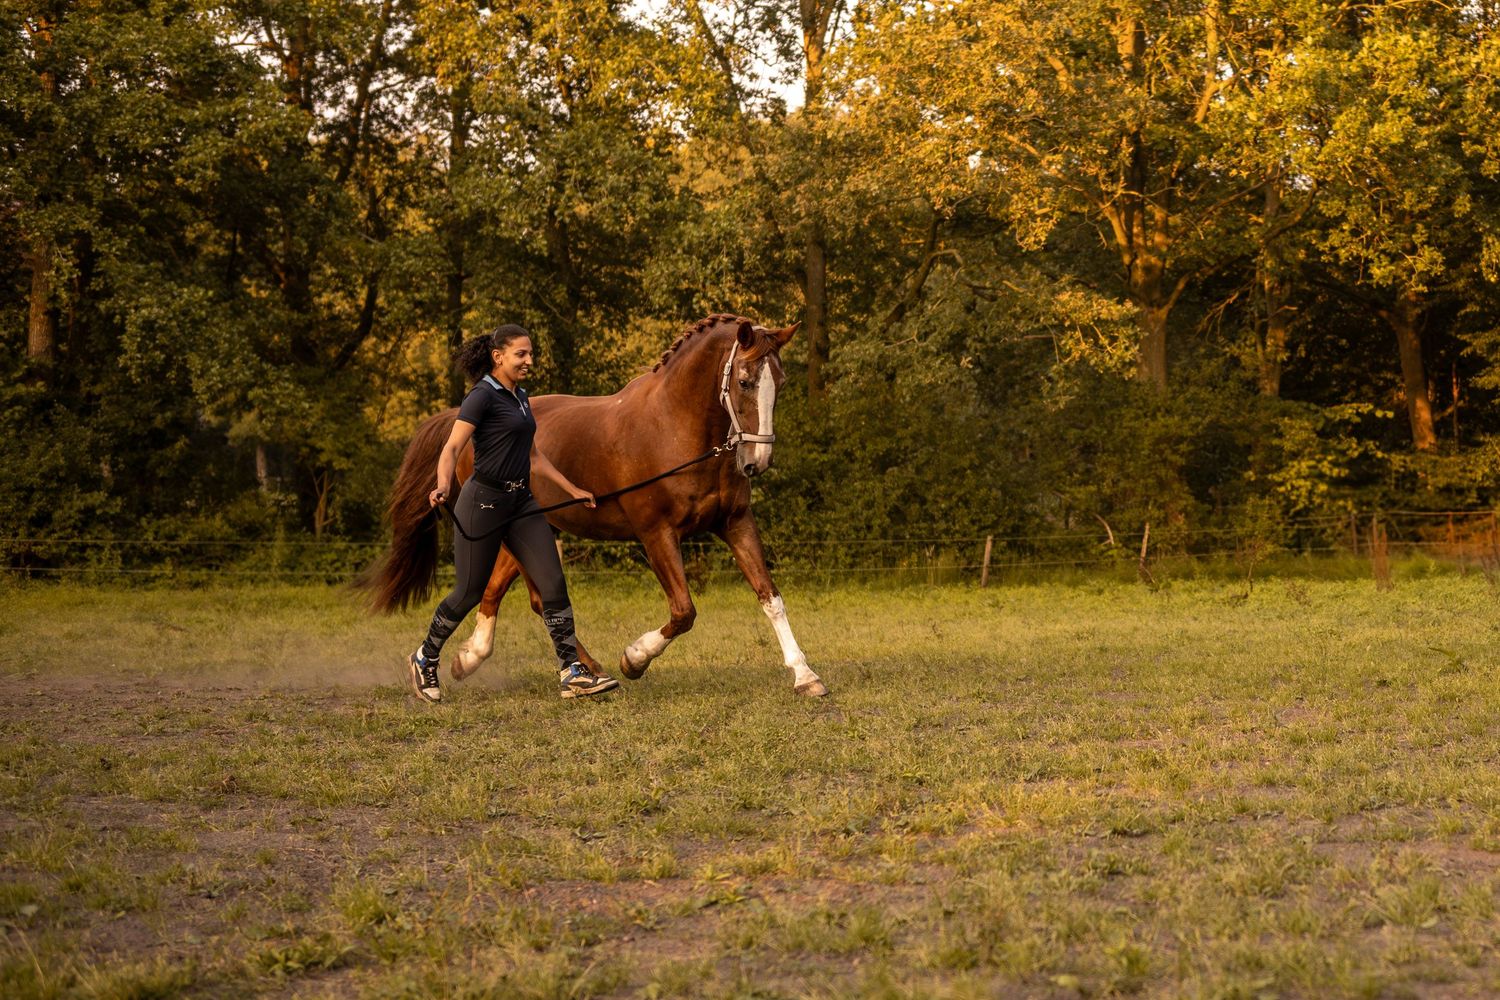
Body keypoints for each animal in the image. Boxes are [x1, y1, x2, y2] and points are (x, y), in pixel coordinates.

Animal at [363, 314, 829, 697]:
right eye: (745, 381)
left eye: (781, 383)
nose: (757, 461)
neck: (674, 425)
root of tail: (462, 419)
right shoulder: (656, 533)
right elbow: (683, 611)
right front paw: (634, 659)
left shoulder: (735, 522)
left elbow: (770, 597)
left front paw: (805, 676)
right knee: (528, 598)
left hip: (534, 531)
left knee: (499, 591)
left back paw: (475, 659)